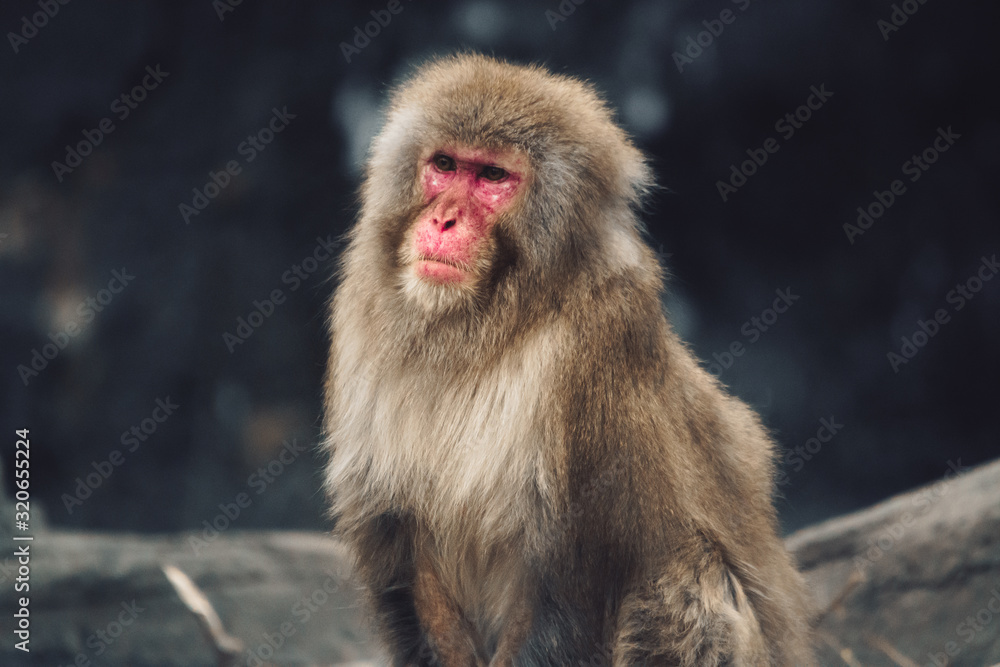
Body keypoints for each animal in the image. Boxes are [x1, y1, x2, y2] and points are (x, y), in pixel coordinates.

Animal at [322, 53, 815, 666]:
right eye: (444, 164)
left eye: (492, 177)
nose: (443, 222)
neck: (485, 322)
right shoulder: (362, 313)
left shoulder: (598, 348)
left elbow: (570, 585)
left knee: (689, 584)